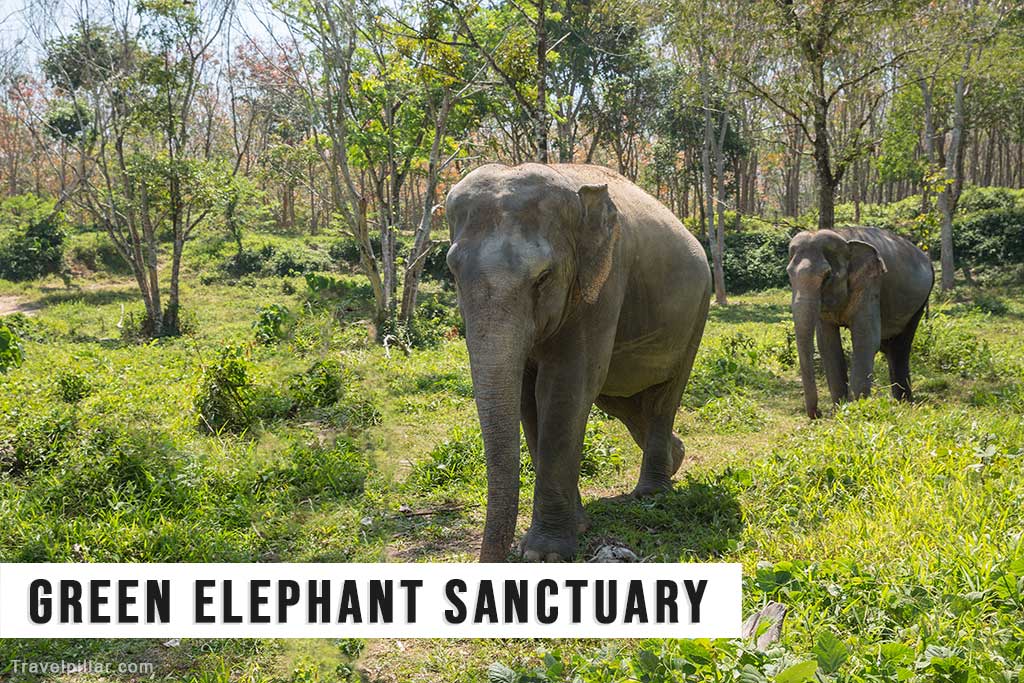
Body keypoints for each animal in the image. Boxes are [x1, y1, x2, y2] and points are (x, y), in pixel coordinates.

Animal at [445, 163, 712, 562]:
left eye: (543, 277)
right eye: (453, 272)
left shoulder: (603, 285)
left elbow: (564, 387)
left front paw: (544, 553)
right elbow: (527, 398)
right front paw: (577, 527)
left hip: (698, 312)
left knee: (664, 398)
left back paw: (651, 493)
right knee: (622, 400)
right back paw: (675, 457)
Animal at [787, 227, 934, 419]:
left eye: (827, 276)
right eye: (789, 275)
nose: (819, 413)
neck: (843, 238)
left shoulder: (870, 284)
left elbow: (866, 340)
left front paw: (855, 409)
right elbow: (828, 345)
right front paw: (839, 410)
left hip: (919, 304)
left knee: (901, 346)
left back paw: (905, 405)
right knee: (889, 347)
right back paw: (901, 403)